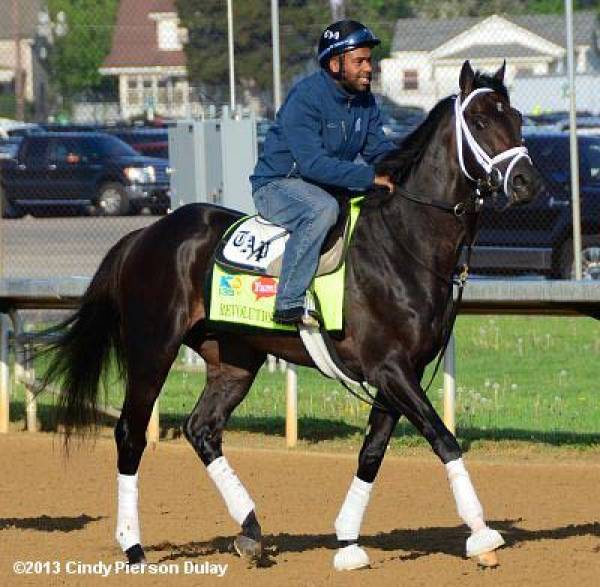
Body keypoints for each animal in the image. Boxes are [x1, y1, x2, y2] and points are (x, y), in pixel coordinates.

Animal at [39, 62, 540, 572]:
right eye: (480, 119)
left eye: (517, 116)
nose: (527, 182)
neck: (403, 243)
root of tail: (143, 235)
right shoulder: (391, 368)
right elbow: (442, 438)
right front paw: (481, 534)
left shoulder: (401, 373)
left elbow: (372, 452)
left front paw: (347, 541)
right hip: (152, 350)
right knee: (131, 434)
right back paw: (133, 545)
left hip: (234, 361)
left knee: (202, 429)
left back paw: (250, 530)